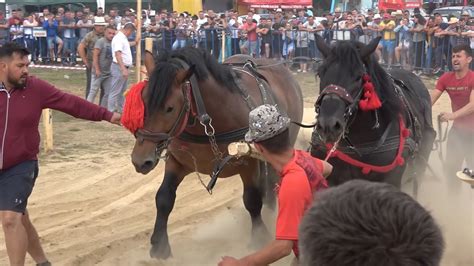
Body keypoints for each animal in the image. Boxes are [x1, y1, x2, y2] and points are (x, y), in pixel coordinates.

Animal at [129, 46, 304, 258]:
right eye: (143, 101)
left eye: (169, 108)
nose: (140, 160)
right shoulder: (176, 161)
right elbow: (164, 198)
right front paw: (160, 247)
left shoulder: (248, 163)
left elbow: (252, 200)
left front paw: (259, 238)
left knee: (271, 186)